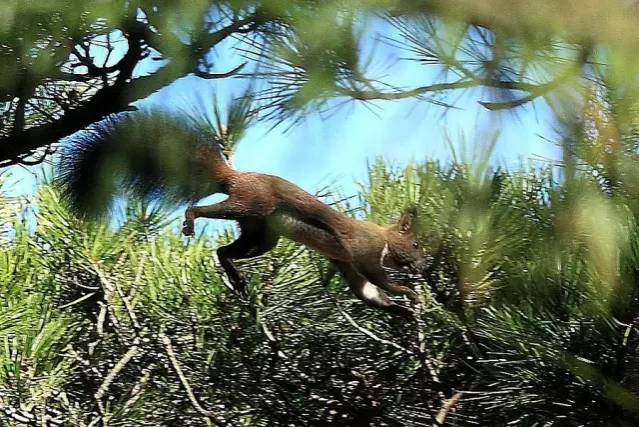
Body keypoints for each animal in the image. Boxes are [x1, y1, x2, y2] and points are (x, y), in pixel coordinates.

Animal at [56, 110, 424, 318]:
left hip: (260, 232)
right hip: (251, 205)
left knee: (225, 251)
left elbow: (367, 292)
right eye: (416, 244)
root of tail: (236, 176)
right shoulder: (363, 249)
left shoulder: (344, 261)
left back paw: (235, 277)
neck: (383, 237)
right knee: (204, 211)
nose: (422, 267)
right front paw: (408, 294)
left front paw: (400, 311)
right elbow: (377, 278)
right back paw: (191, 221)